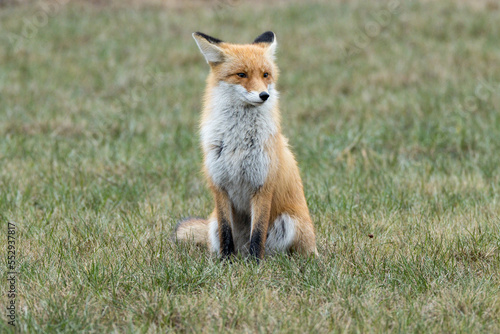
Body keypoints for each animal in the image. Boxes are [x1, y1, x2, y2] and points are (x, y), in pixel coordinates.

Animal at [175, 31, 316, 260]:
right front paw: (225, 262)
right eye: (241, 74)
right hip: (213, 225)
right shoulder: (219, 185)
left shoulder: (262, 184)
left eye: (265, 75)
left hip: (289, 224)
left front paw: (255, 263)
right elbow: (226, 232)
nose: (264, 95)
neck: (238, 142)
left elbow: (257, 233)